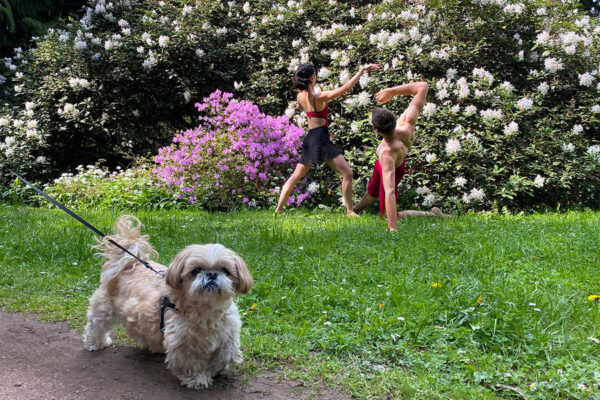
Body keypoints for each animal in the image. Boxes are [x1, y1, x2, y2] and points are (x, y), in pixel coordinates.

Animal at [82, 216, 253, 388]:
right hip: (104, 308)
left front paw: (218, 369)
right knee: (96, 324)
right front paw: (197, 378)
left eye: (225, 271)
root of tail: (130, 262)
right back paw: (96, 342)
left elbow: (227, 354)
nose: (211, 274)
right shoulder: (183, 342)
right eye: (196, 270)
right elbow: (191, 363)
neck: (206, 310)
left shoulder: (228, 333)